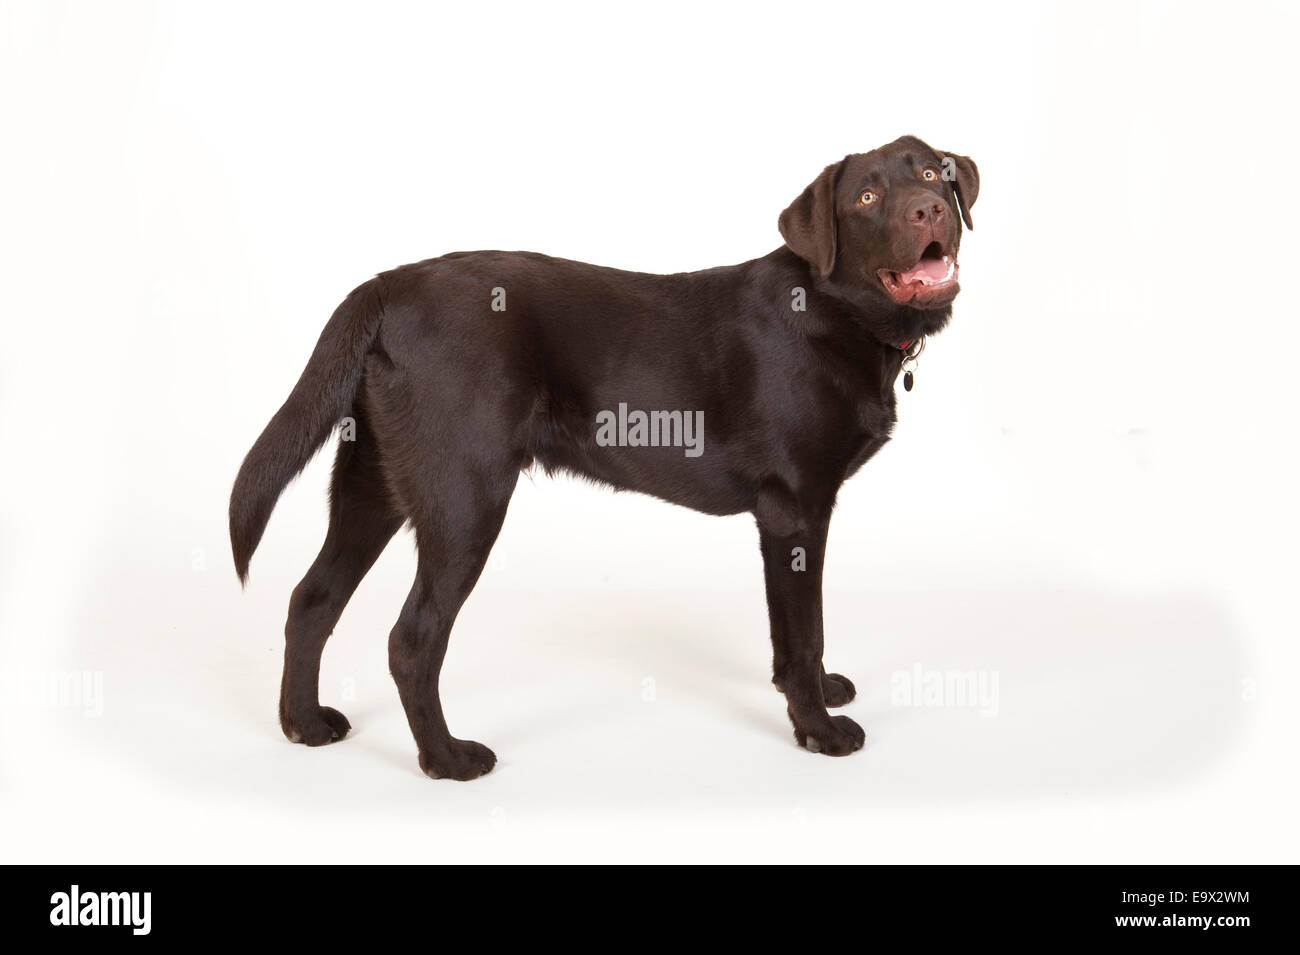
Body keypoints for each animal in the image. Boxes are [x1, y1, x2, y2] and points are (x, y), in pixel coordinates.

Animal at [231, 134, 977, 779]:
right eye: (867, 198)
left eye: (933, 173)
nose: (929, 208)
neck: (838, 313)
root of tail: (387, 285)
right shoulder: (794, 510)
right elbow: (803, 632)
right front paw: (818, 729)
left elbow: (803, 627)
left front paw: (822, 692)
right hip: (465, 499)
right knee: (412, 640)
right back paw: (447, 759)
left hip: (373, 486)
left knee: (311, 598)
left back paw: (305, 725)